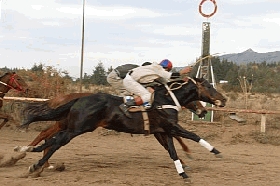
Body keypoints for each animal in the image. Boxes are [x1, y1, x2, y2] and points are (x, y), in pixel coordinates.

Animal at [17, 78, 225, 183]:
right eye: (208, 86)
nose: (222, 100)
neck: (164, 100)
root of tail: (78, 98)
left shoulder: (162, 131)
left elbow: (172, 151)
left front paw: (183, 171)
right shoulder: (170, 127)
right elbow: (193, 135)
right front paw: (216, 151)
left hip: (73, 126)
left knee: (52, 139)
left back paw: (29, 155)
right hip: (78, 128)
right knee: (55, 141)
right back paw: (34, 163)